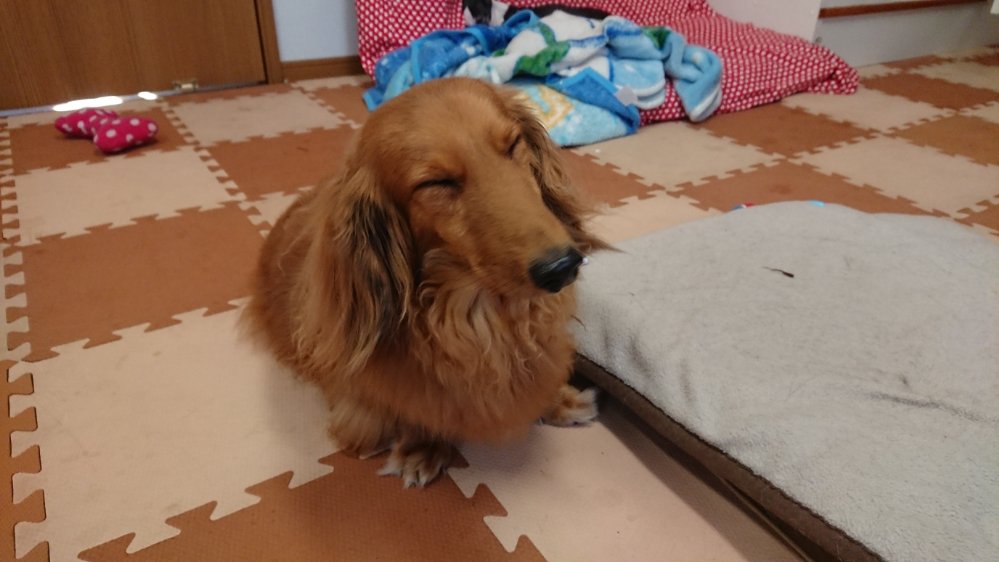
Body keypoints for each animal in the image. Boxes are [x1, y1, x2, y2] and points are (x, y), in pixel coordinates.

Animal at [244, 77, 608, 487]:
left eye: (513, 144)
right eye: (437, 182)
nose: (562, 266)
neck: (481, 317)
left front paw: (558, 399)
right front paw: (424, 445)